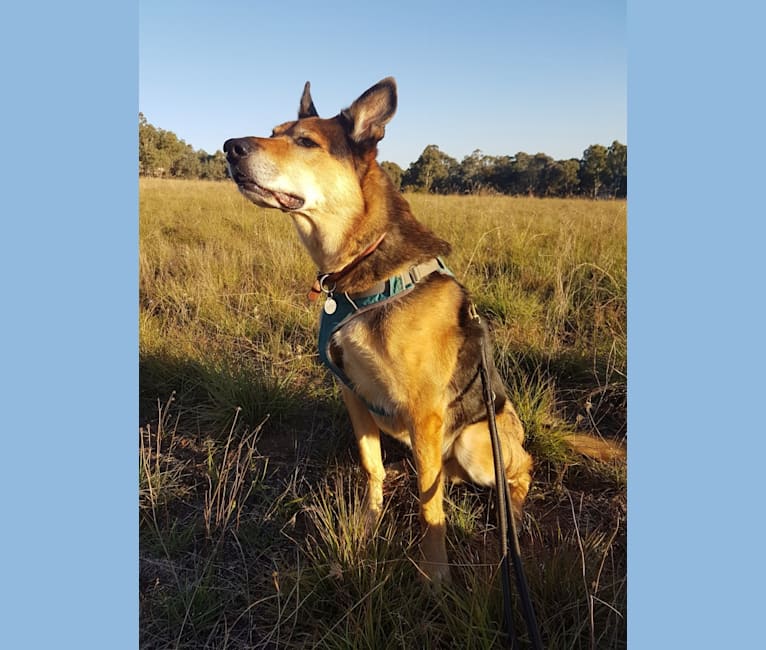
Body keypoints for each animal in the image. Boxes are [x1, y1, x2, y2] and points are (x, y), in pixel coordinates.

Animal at [224, 77, 624, 584]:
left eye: (306, 142)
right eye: (274, 131)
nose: (229, 147)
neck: (364, 268)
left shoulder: (423, 411)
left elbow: (429, 509)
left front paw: (435, 575)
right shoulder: (354, 396)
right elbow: (372, 468)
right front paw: (367, 526)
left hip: (477, 443)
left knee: (521, 469)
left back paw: (511, 513)